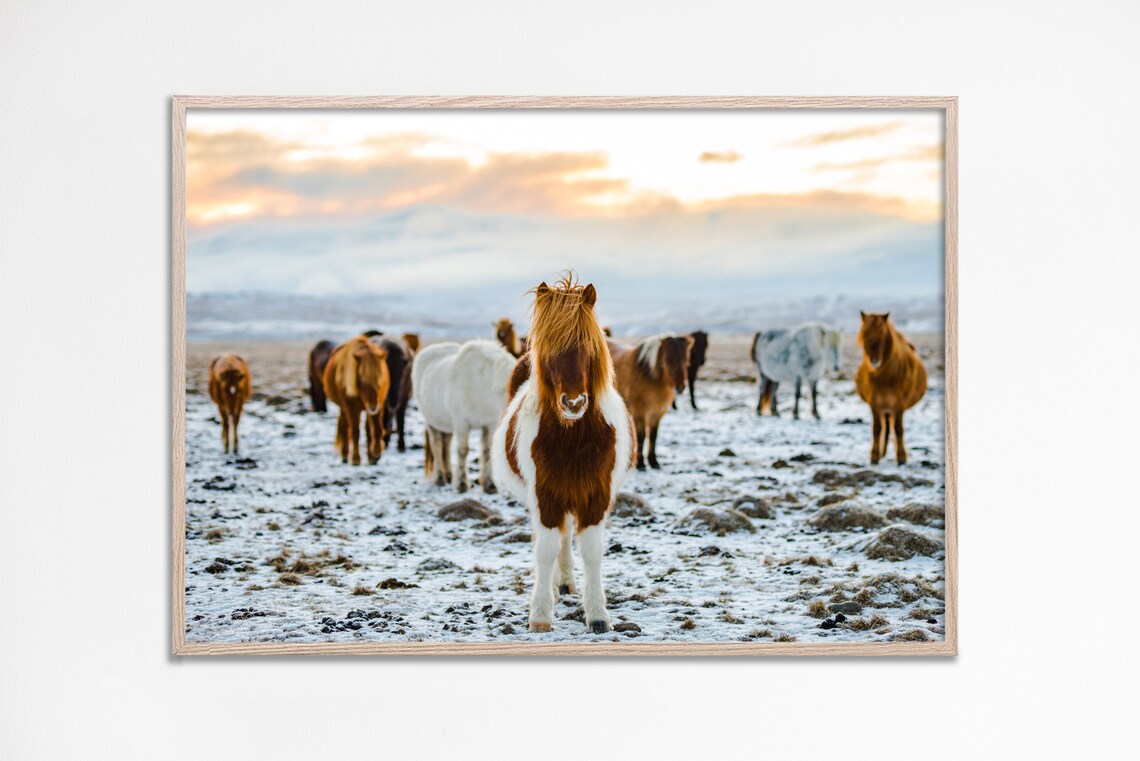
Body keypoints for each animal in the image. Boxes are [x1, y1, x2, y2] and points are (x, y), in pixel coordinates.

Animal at [322, 335, 390, 465]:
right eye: (361, 381)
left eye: (380, 381)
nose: (372, 407)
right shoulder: (351, 408)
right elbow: (355, 432)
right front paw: (355, 458)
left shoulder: (379, 403)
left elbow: (376, 429)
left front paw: (376, 452)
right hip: (344, 407)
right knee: (344, 426)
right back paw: (345, 454)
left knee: (367, 429)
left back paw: (370, 457)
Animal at [412, 339, 515, 493]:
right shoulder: (461, 422)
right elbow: (463, 451)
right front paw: (461, 484)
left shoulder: (489, 423)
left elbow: (486, 451)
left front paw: (489, 484)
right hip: (431, 422)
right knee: (436, 445)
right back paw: (440, 478)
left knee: (446, 444)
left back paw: (449, 475)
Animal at [492, 276, 634, 634]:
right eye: (550, 349)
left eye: (588, 345)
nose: (574, 403)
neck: (573, 440)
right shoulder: (545, 496)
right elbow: (544, 551)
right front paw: (541, 614)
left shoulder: (595, 496)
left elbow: (591, 552)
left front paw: (597, 614)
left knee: (567, 536)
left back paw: (566, 583)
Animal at [611, 334, 693, 470]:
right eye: (668, 359)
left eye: (686, 358)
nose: (680, 387)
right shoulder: (640, 412)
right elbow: (642, 436)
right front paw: (640, 464)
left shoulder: (657, 413)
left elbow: (653, 436)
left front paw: (654, 462)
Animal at [854, 312, 927, 464]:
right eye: (865, 335)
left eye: (883, 335)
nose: (874, 360)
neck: (885, 379)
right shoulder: (874, 404)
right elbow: (877, 429)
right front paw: (874, 456)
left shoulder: (899, 405)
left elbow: (899, 429)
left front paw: (902, 457)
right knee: (886, 427)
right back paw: (882, 453)